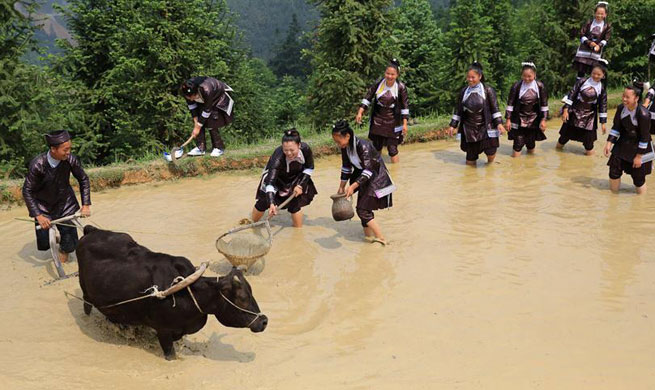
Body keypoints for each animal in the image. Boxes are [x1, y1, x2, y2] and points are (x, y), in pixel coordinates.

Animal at [77, 225, 270, 360]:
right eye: (242, 298)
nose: (264, 322)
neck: (187, 292)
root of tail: (91, 230)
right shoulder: (163, 331)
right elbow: (171, 355)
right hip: (86, 293)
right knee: (86, 307)